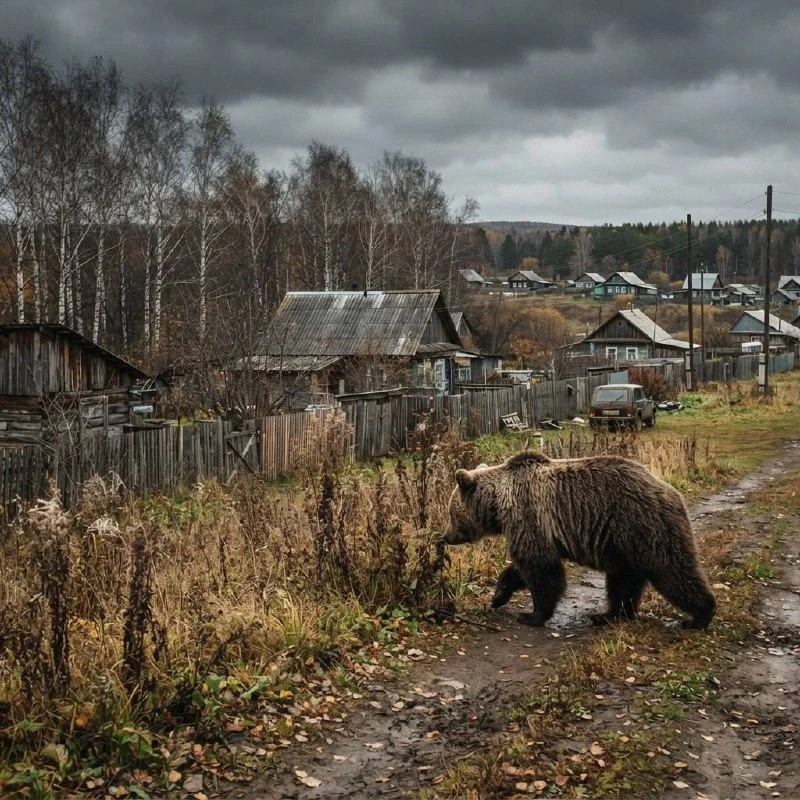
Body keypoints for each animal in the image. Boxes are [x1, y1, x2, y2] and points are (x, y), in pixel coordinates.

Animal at [443, 451, 716, 629]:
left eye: (451, 513)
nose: (445, 536)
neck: (500, 504)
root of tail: (672, 492)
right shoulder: (534, 529)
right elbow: (522, 567)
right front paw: (499, 596)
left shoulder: (530, 515)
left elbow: (541, 570)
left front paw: (532, 615)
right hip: (624, 546)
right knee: (623, 581)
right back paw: (608, 615)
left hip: (643, 526)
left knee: (673, 572)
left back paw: (699, 616)